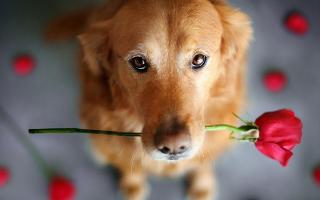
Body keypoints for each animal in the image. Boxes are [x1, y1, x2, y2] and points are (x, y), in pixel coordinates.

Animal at [47, 0, 252, 199]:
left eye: (199, 59)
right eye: (138, 62)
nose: (174, 146)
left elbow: (203, 163)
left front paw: (202, 186)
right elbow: (127, 165)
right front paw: (132, 186)